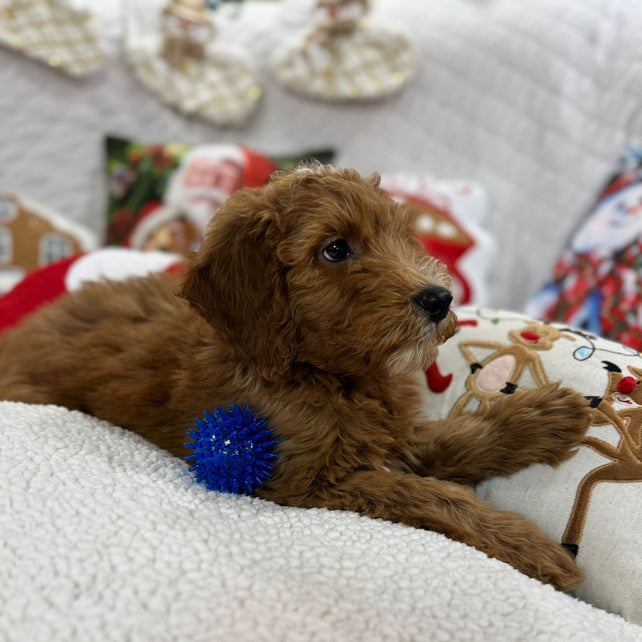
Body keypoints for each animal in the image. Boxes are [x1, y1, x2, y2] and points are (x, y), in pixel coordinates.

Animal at [1, 166, 592, 592]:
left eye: (402, 237)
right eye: (335, 249)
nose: (440, 299)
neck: (325, 373)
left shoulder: (388, 433)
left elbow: (455, 439)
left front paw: (541, 417)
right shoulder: (306, 480)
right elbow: (426, 493)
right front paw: (529, 546)